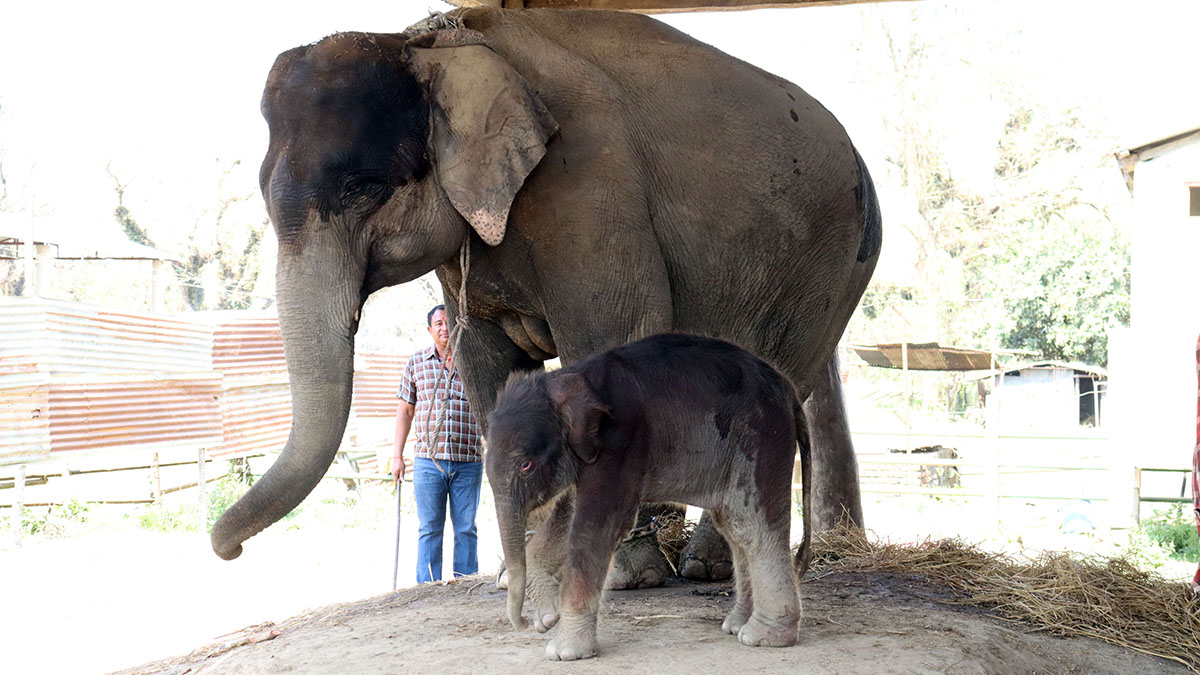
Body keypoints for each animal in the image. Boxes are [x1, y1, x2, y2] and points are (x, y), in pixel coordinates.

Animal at [211, 6, 878, 583]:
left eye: (361, 188)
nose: (230, 551)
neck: (431, 43)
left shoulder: (588, 186)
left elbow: (616, 335)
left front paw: (621, 574)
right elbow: (486, 367)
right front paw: (523, 574)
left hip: (831, 262)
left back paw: (708, 567)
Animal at [482, 331, 811, 658]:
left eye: (526, 466)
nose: (525, 624)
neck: (566, 378)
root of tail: (790, 391)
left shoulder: (620, 443)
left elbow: (595, 529)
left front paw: (564, 652)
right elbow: (569, 514)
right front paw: (547, 617)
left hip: (762, 437)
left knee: (753, 526)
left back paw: (763, 637)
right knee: (734, 527)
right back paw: (736, 625)